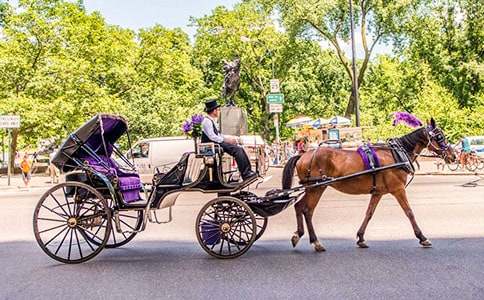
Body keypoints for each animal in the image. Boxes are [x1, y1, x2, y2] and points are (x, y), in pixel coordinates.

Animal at [282, 118, 456, 252]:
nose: (453, 156)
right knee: (307, 210)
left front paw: (360, 238)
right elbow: (409, 212)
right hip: (317, 188)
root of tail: (303, 154)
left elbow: (369, 213)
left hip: (313, 188)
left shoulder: (377, 192)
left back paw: (298, 235)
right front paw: (422, 237)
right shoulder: (398, 189)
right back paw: (315, 242)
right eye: (439, 136)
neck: (396, 154)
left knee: (299, 207)